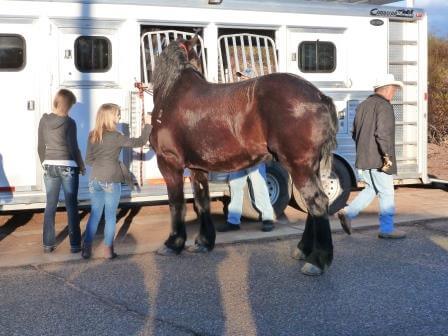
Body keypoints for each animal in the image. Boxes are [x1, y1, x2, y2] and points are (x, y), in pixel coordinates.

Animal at [149, 35, 338, 276]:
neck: (172, 95)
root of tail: (319, 96)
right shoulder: (197, 168)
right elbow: (202, 202)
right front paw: (203, 242)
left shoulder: (169, 162)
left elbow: (176, 202)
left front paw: (173, 244)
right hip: (309, 167)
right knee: (312, 206)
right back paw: (303, 250)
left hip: (299, 165)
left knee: (318, 202)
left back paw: (317, 260)